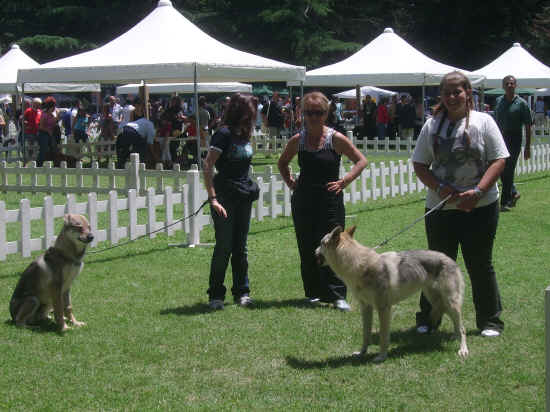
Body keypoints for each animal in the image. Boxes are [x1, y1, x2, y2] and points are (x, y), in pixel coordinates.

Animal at [316, 224, 468, 362]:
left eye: (321, 243)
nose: (314, 251)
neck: (359, 266)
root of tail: (451, 260)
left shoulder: (383, 308)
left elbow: (383, 336)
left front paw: (381, 357)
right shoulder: (365, 307)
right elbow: (366, 334)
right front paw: (361, 353)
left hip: (450, 303)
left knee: (462, 327)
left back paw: (463, 349)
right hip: (437, 302)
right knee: (456, 324)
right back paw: (454, 338)